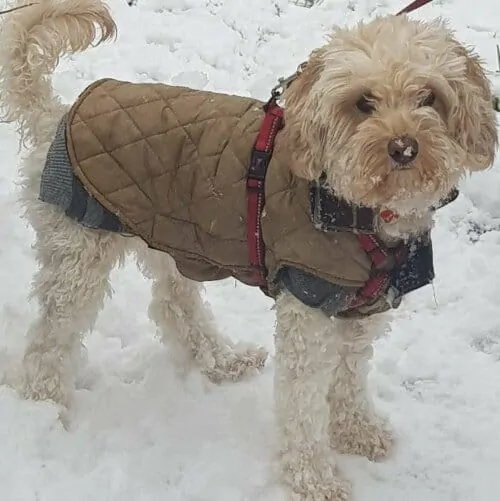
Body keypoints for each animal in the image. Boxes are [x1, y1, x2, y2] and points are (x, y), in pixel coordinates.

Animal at [0, 0, 496, 500]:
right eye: (363, 103)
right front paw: (313, 477)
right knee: (50, 338)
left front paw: (356, 431)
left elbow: (350, 379)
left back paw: (222, 360)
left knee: (173, 306)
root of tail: (57, 114)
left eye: (428, 96)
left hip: (171, 235)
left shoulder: (358, 311)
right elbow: (303, 404)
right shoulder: (309, 306)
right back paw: (44, 405)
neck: (356, 209)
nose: (404, 148)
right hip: (79, 254)